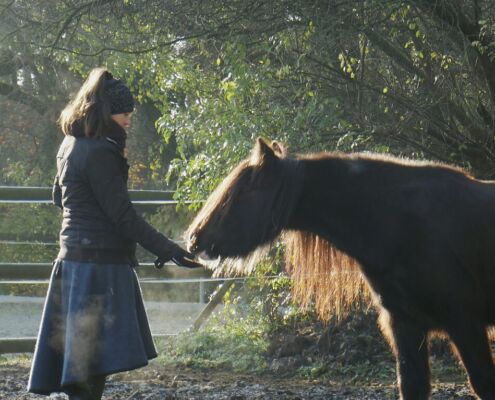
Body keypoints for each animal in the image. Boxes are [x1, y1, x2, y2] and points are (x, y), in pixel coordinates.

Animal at [187, 138, 495, 400]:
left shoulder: (464, 323)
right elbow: (412, 387)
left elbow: (484, 383)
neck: (400, 222)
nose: (194, 239)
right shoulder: (406, 325)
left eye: (243, 192)